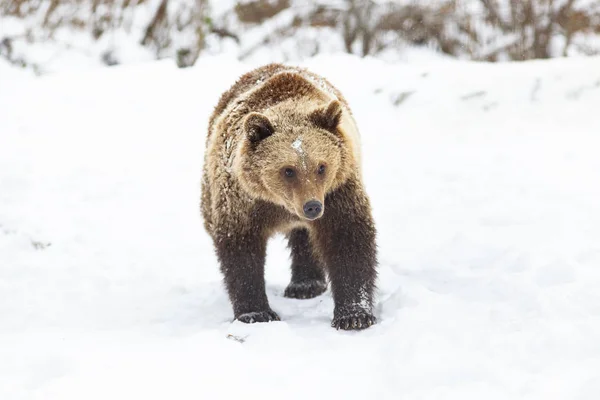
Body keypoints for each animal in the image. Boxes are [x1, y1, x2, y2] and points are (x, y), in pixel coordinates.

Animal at [202, 63, 378, 332]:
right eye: (288, 170)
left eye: (321, 166)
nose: (312, 207)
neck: (280, 205)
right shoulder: (242, 201)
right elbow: (241, 250)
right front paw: (255, 312)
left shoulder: (338, 191)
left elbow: (348, 238)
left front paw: (354, 315)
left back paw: (306, 285)